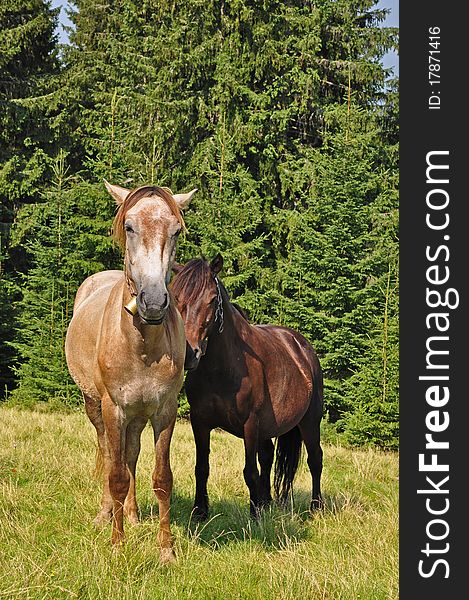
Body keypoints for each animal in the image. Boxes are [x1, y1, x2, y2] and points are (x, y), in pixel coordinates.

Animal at [64, 180, 196, 560]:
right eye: (129, 226)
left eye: (176, 230)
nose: (153, 301)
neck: (141, 344)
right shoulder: (115, 408)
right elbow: (116, 475)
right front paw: (117, 545)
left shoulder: (164, 411)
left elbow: (162, 478)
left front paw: (165, 550)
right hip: (96, 406)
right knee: (111, 454)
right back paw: (105, 514)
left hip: (138, 415)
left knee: (132, 454)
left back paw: (134, 516)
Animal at [171, 255, 322, 516]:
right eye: (176, 296)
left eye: (212, 299)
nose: (190, 354)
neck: (224, 368)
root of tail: (302, 347)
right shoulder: (199, 422)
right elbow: (201, 467)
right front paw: (200, 511)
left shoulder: (250, 424)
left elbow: (250, 471)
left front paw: (255, 516)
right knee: (268, 456)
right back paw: (266, 501)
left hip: (310, 422)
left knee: (315, 460)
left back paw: (316, 507)